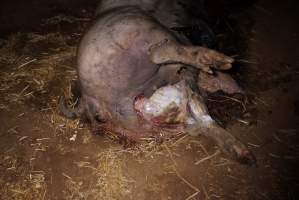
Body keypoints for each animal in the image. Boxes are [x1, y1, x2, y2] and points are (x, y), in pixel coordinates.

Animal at [59, 4, 256, 164]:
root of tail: (88, 97)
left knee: (201, 120)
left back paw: (244, 155)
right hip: (141, 32)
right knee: (160, 52)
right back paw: (220, 63)